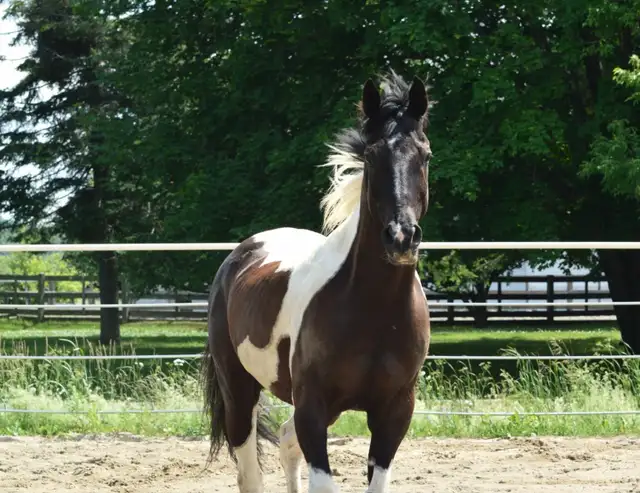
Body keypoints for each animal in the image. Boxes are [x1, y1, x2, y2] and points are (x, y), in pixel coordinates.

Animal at [201, 70, 432, 493]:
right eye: (371, 156)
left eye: (425, 155)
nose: (401, 238)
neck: (373, 311)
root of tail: (240, 256)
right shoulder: (313, 406)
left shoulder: (394, 411)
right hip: (238, 391)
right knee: (250, 472)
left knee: (285, 441)